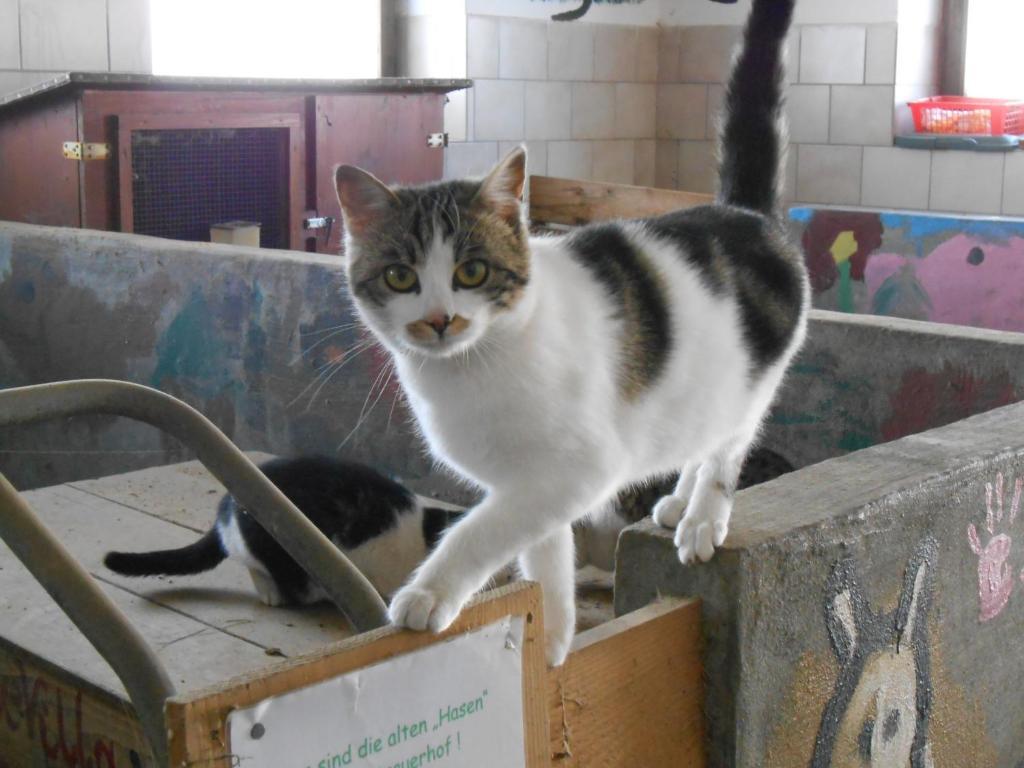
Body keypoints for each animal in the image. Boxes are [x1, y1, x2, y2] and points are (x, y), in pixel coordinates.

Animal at [331, 0, 802, 667]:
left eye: (472, 271)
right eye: (400, 277)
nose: (440, 319)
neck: (475, 366)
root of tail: (745, 214)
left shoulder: (581, 467)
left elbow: (485, 527)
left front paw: (428, 594)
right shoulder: (531, 480)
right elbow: (542, 545)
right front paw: (551, 638)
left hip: (754, 379)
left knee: (729, 445)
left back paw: (703, 518)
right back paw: (677, 502)